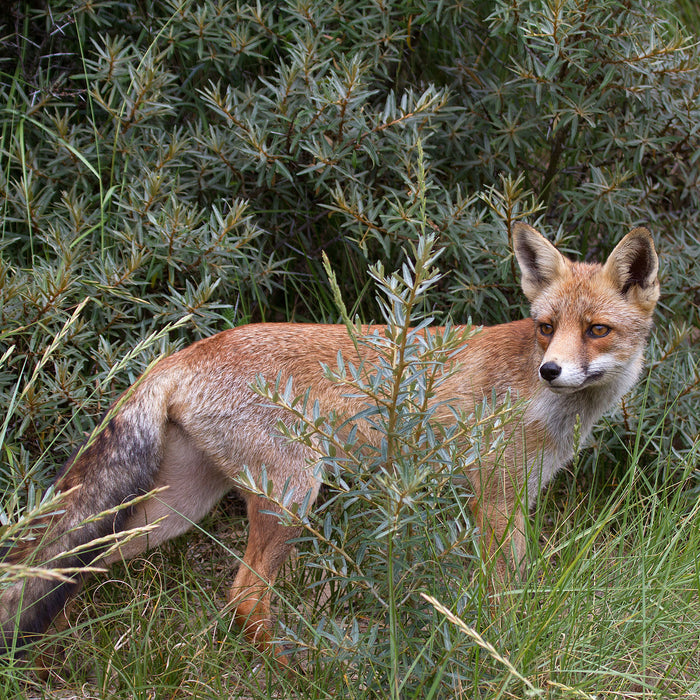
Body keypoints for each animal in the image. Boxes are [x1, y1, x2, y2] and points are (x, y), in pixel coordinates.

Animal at [1, 224, 656, 660]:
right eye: (546, 327)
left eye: (597, 330)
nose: (551, 370)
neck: (545, 404)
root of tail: (184, 353)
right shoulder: (494, 498)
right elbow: (501, 595)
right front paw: (499, 644)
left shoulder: (517, 497)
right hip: (294, 494)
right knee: (244, 599)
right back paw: (291, 668)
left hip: (176, 509)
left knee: (65, 566)